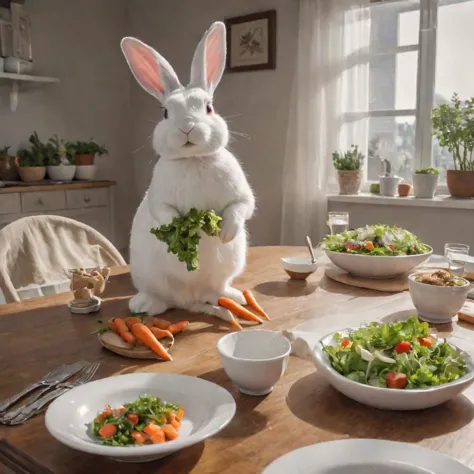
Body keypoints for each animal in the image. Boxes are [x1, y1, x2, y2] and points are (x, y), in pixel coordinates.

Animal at [122, 20, 256, 322]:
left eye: (209, 107)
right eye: (165, 113)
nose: (187, 128)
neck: (193, 159)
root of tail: (188, 299)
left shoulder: (241, 195)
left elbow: (241, 208)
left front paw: (226, 233)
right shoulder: (158, 198)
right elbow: (164, 213)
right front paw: (179, 228)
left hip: (227, 270)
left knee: (215, 291)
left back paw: (235, 298)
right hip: (149, 278)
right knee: (160, 300)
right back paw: (142, 305)